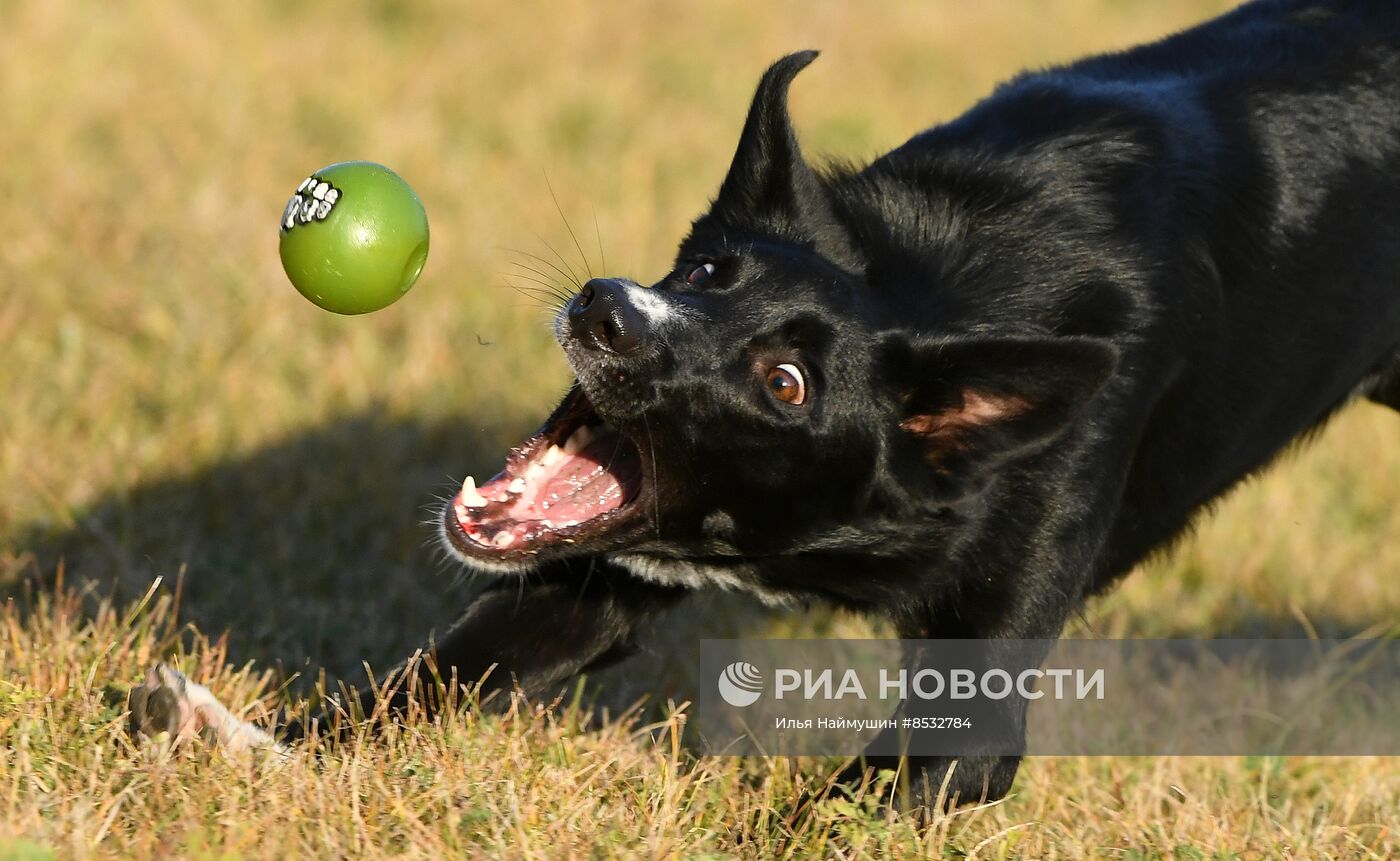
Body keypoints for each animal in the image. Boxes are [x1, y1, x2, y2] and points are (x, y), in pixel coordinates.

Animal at [133, 0, 1400, 806]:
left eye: (784, 382)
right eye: (704, 270)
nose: (607, 311)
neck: (928, 281)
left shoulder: (969, 721)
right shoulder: (577, 591)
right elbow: (425, 679)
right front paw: (254, 756)